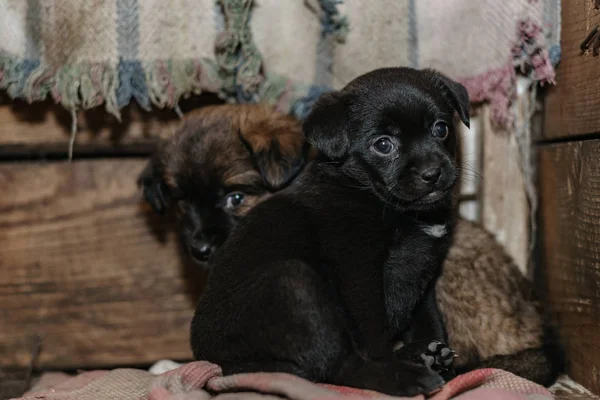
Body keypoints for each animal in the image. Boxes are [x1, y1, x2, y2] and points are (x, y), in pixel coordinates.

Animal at [191, 67, 468, 396]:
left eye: (441, 129)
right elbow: (374, 334)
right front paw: (396, 365)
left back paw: (424, 356)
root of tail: (213, 361)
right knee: (337, 368)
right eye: (383, 145)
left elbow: (430, 321)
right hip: (294, 284)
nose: (433, 173)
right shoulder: (359, 274)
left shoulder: (423, 276)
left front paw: (448, 368)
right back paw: (406, 375)